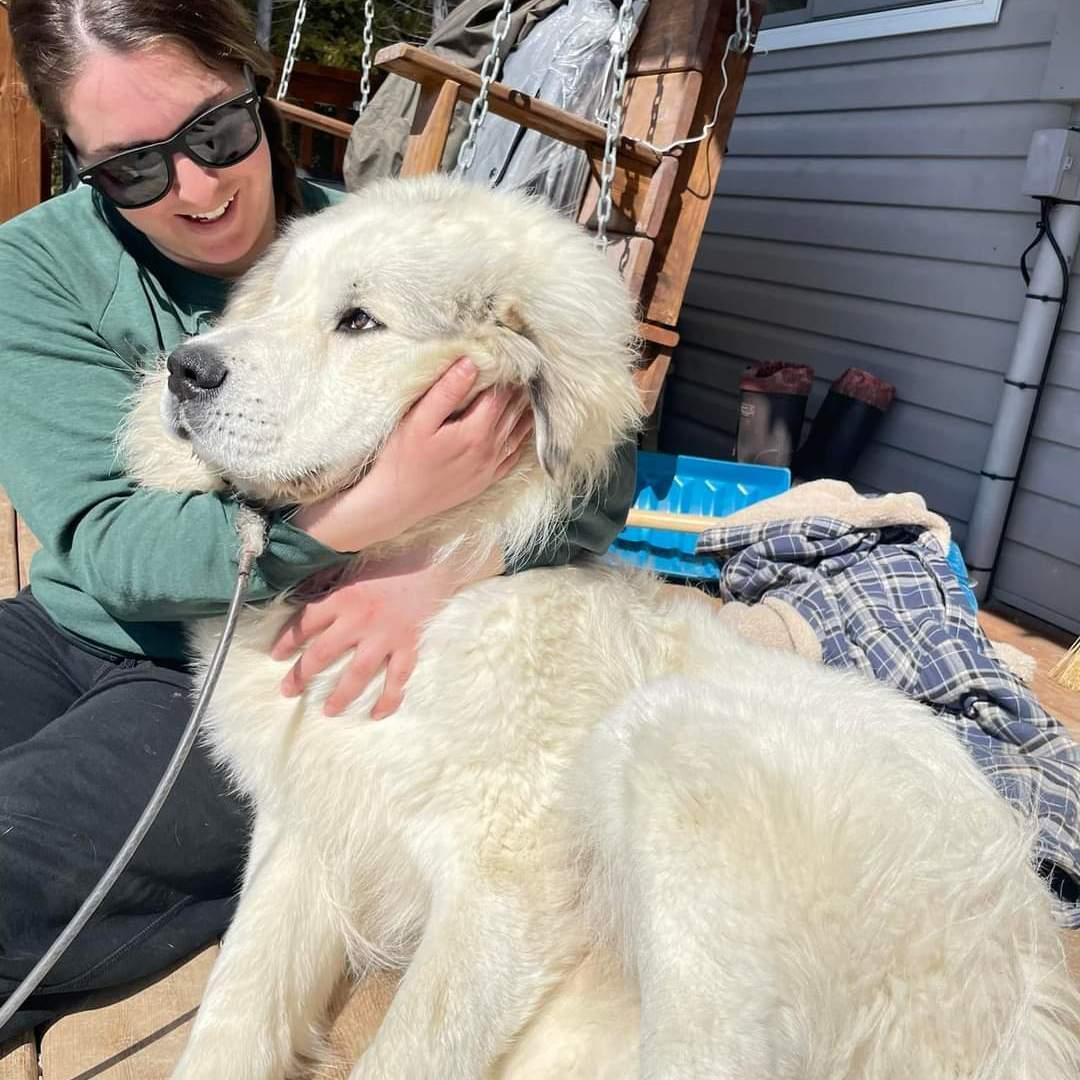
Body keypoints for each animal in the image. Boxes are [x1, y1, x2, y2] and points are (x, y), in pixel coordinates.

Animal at [124, 175, 1080, 1079]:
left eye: (358, 320)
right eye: (276, 301)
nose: (183, 369)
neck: (423, 576)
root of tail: (1026, 984)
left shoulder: (500, 895)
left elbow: (407, 1050)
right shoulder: (306, 829)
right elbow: (234, 1011)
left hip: (676, 750)